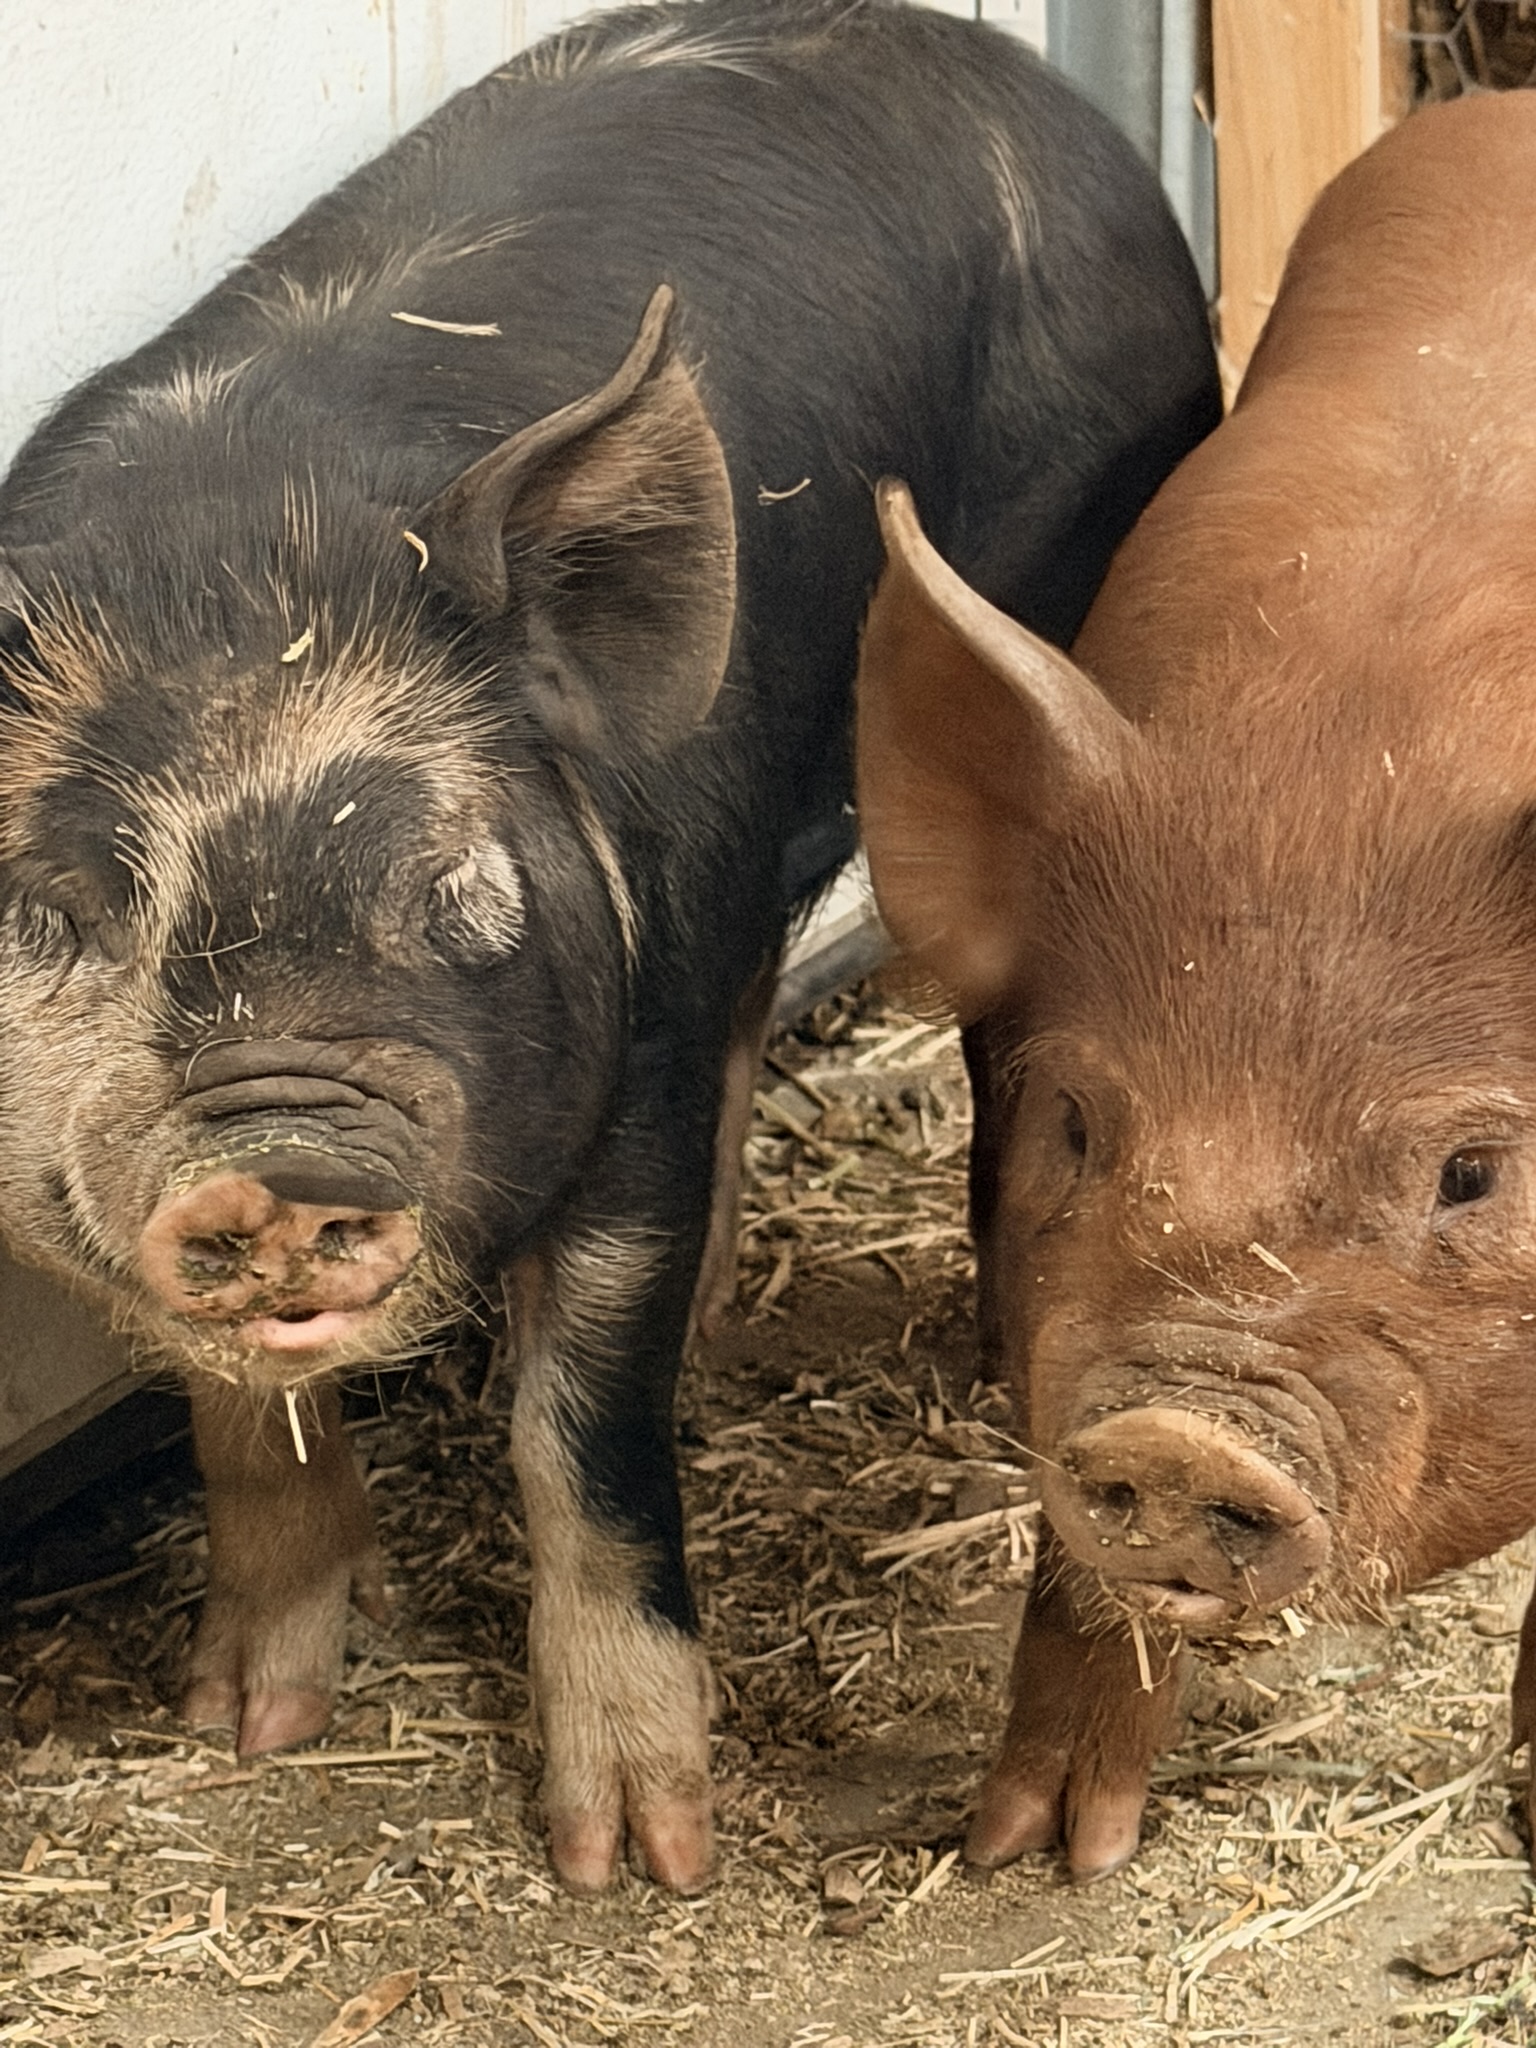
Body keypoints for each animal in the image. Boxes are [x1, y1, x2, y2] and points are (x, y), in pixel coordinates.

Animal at [0, 0, 1219, 1894]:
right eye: (64, 903)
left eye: (455, 882)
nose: (283, 1147)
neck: (230, 556)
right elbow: (236, 1416)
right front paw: (244, 1723)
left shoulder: (625, 1074)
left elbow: (581, 1437)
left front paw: (637, 1860)